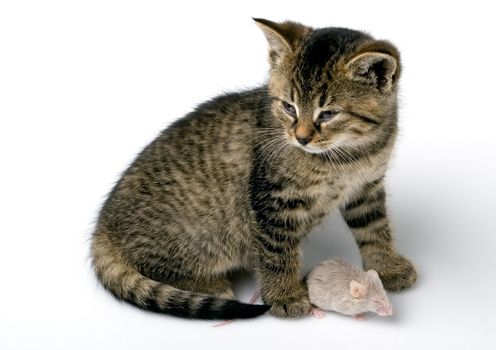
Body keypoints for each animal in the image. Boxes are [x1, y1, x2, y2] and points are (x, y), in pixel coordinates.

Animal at [91, 19, 416, 320]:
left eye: (328, 114)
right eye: (288, 107)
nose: (301, 137)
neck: (350, 154)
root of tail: (103, 228)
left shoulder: (366, 187)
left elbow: (375, 229)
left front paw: (387, 267)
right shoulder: (273, 197)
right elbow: (277, 251)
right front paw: (285, 295)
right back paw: (209, 285)